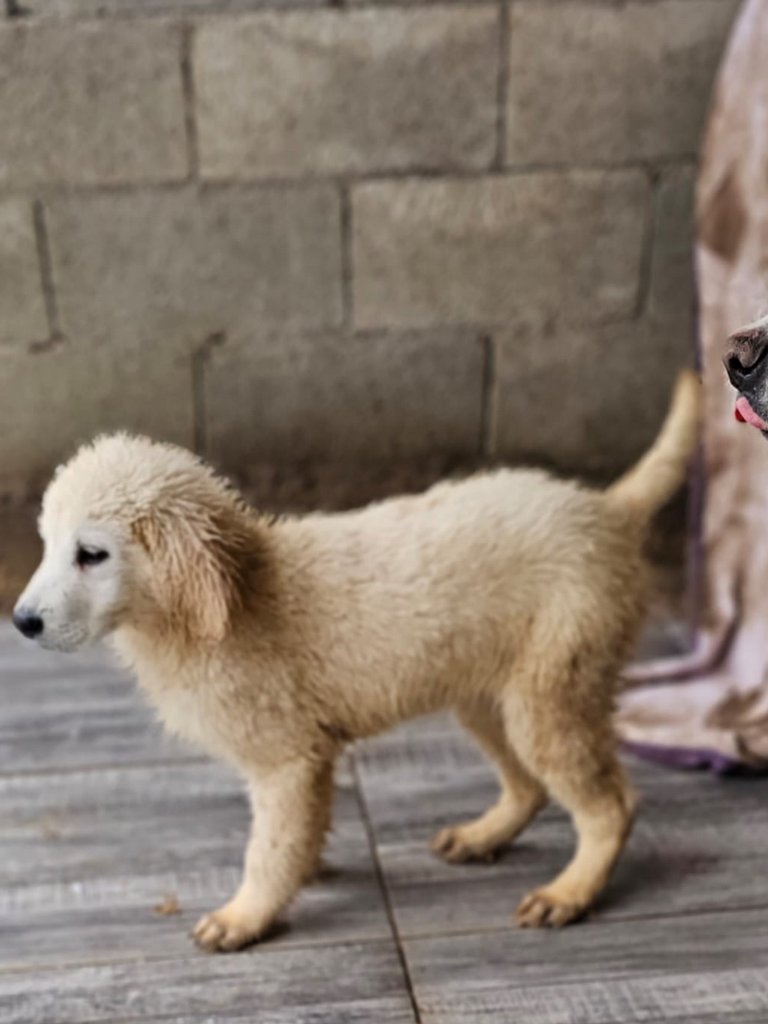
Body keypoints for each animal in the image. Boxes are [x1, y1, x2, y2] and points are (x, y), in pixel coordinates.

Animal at [13, 371, 700, 952]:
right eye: (46, 545)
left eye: (91, 555)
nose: (21, 623)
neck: (238, 592)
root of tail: (604, 512)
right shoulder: (310, 755)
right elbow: (301, 830)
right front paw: (306, 868)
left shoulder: (286, 757)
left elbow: (269, 848)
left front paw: (247, 915)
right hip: (489, 694)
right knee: (528, 786)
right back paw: (482, 837)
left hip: (553, 687)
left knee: (611, 806)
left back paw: (570, 892)